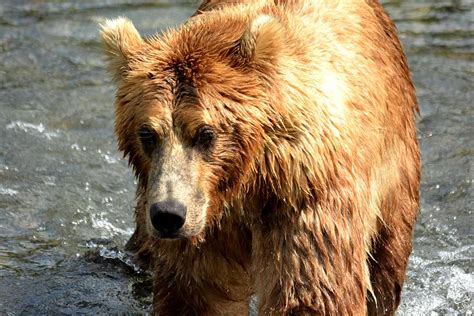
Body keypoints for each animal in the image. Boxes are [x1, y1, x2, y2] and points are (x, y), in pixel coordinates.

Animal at [100, 0, 418, 314]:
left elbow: (311, 290)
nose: (168, 215)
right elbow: (200, 295)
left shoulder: (304, 193)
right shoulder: (205, 222)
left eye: (205, 133)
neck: (247, 181)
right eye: (147, 134)